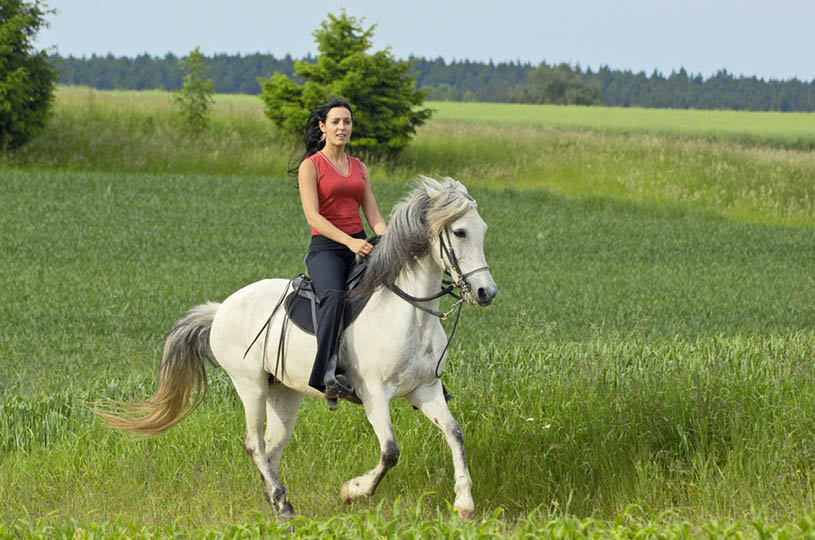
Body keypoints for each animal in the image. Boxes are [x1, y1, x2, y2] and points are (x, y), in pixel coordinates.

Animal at [97, 176, 498, 520]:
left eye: (483, 230)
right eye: (459, 232)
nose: (486, 293)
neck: (408, 311)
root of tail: (220, 309)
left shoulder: (424, 389)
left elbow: (454, 432)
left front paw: (464, 503)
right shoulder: (374, 393)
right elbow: (390, 452)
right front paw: (352, 491)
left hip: (284, 393)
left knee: (272, 449)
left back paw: (278, 506)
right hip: (250, 386)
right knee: (254, 445)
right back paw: (284, 505)